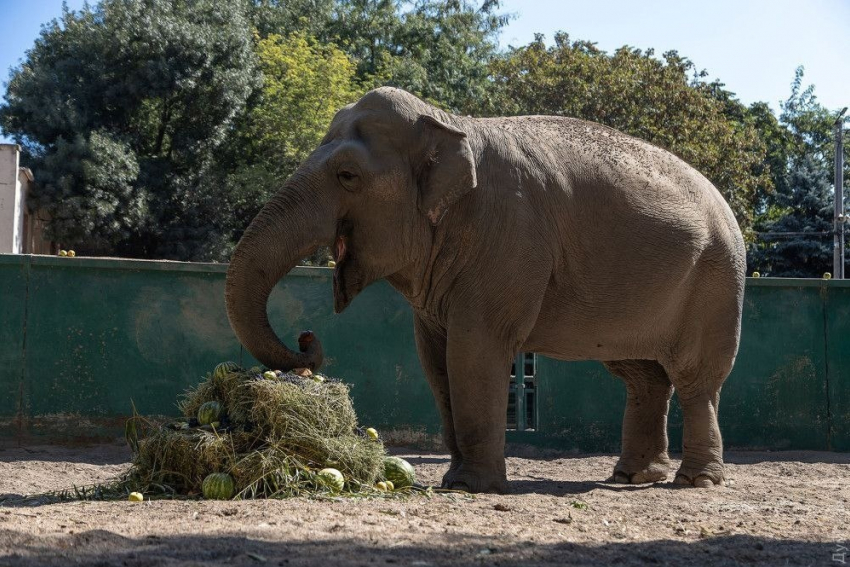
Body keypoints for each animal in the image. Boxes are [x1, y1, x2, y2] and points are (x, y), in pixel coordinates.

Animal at [224, 86, 744, 494]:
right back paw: (632, 478)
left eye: (347, 175)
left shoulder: (508, 238)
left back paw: (695, 481)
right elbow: (435, 360)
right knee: (641, 375)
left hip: (717, 280)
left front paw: (468, 487)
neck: (451, 123)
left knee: (695, 377)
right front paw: (455, 479)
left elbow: (474, 349)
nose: (306, 340)